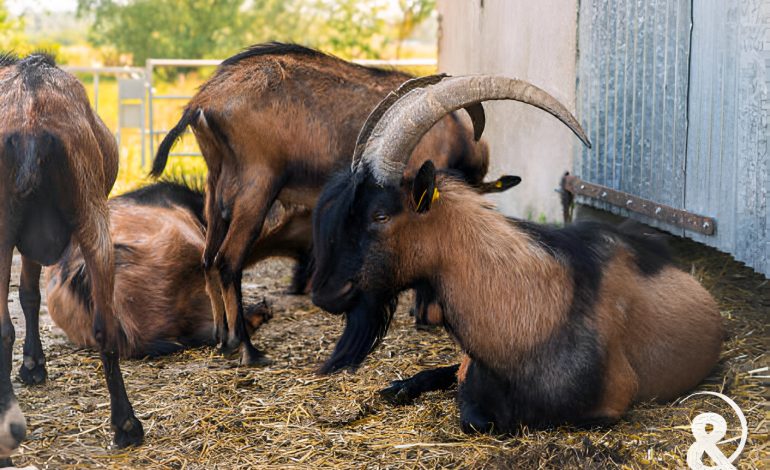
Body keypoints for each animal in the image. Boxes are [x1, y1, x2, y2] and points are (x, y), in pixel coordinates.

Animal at [0, 52, 144, 458]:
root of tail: (30, 123)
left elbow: (28, 294)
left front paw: (33, 365)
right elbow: (30, 293)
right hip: (91, 212)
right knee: (105, 325)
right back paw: (126, 424)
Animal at [148, 43, 516, 368]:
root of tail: (203, 103)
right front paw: (425, 315)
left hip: (216, 187)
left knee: (208, 259)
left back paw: (223, 340)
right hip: (257, 186)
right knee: (227, 261)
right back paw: (247, 349)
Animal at [310, 74, 720, 434]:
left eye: (380, 215)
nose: (325, 292)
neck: (530, 308)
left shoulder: (607, 405)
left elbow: (482, 418)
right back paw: (399, 388)